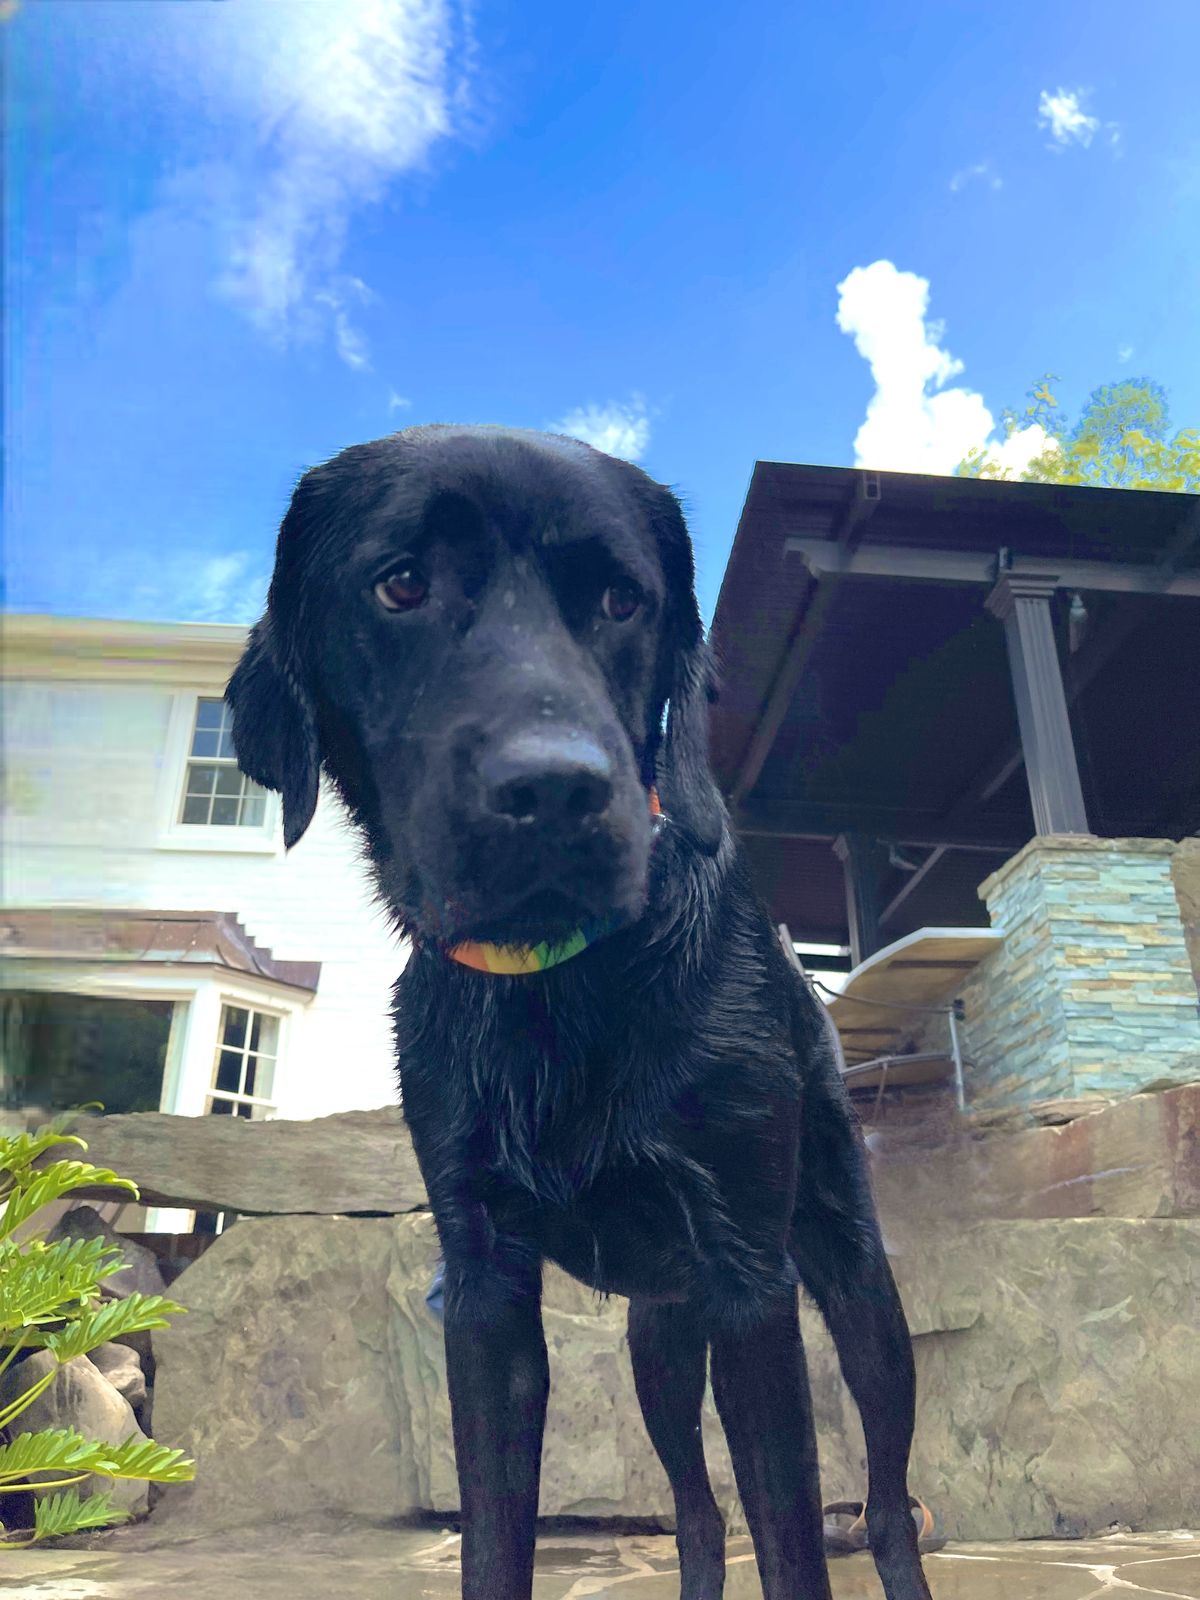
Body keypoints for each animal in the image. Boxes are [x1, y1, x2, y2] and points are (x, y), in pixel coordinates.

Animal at [227, 425, 940, 1600]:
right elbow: (493, 1541)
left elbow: (792, 1542)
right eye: (401, 583)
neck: (557, 991)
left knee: (883, 1504)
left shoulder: (753, 1288)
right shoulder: (484, 1294)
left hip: (857, 1298)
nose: (557, 789)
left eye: (621, 600)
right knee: (697, 1514)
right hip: (660, 1345)